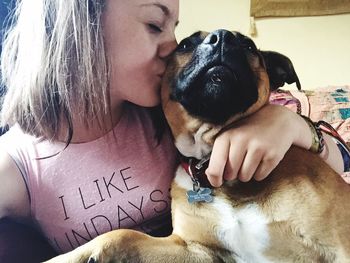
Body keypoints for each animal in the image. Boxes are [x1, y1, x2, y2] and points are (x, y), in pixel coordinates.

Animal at [46, 29, 350, 263]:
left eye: (249, 46)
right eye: (184, 44)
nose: (223, 37)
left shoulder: (339, 245)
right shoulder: (197, 250)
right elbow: (122, 234)